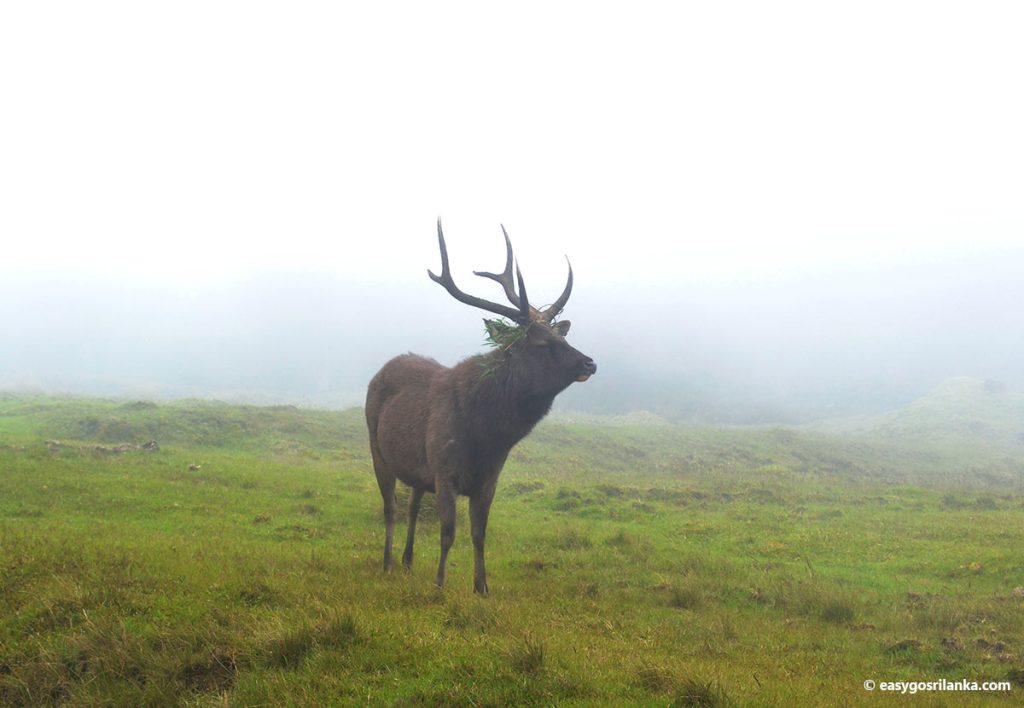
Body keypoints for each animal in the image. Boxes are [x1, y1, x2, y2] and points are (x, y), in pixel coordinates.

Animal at [365, 221, 596, 595]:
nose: (589, 363)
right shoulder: (445, 470)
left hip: (418, 469)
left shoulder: (489, 477)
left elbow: (478, 533)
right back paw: (387, 563)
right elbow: (448, 532)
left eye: (562, 336)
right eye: (542, 344)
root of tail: (380, 372)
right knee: (391, 508)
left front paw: (481, 587)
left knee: (412, 505)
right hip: (377, 450)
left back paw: (407, 560)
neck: (487, 436)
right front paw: (440, 584)